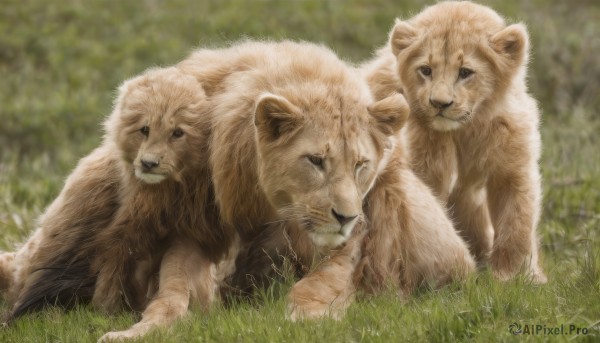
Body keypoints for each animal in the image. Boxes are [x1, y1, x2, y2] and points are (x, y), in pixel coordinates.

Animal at [360, 1, 548, 284]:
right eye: (426, 70)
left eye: (465, 72)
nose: (440, 103)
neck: (464, 133)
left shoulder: (512, 164)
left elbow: (517, 220)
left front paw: (515, 278)